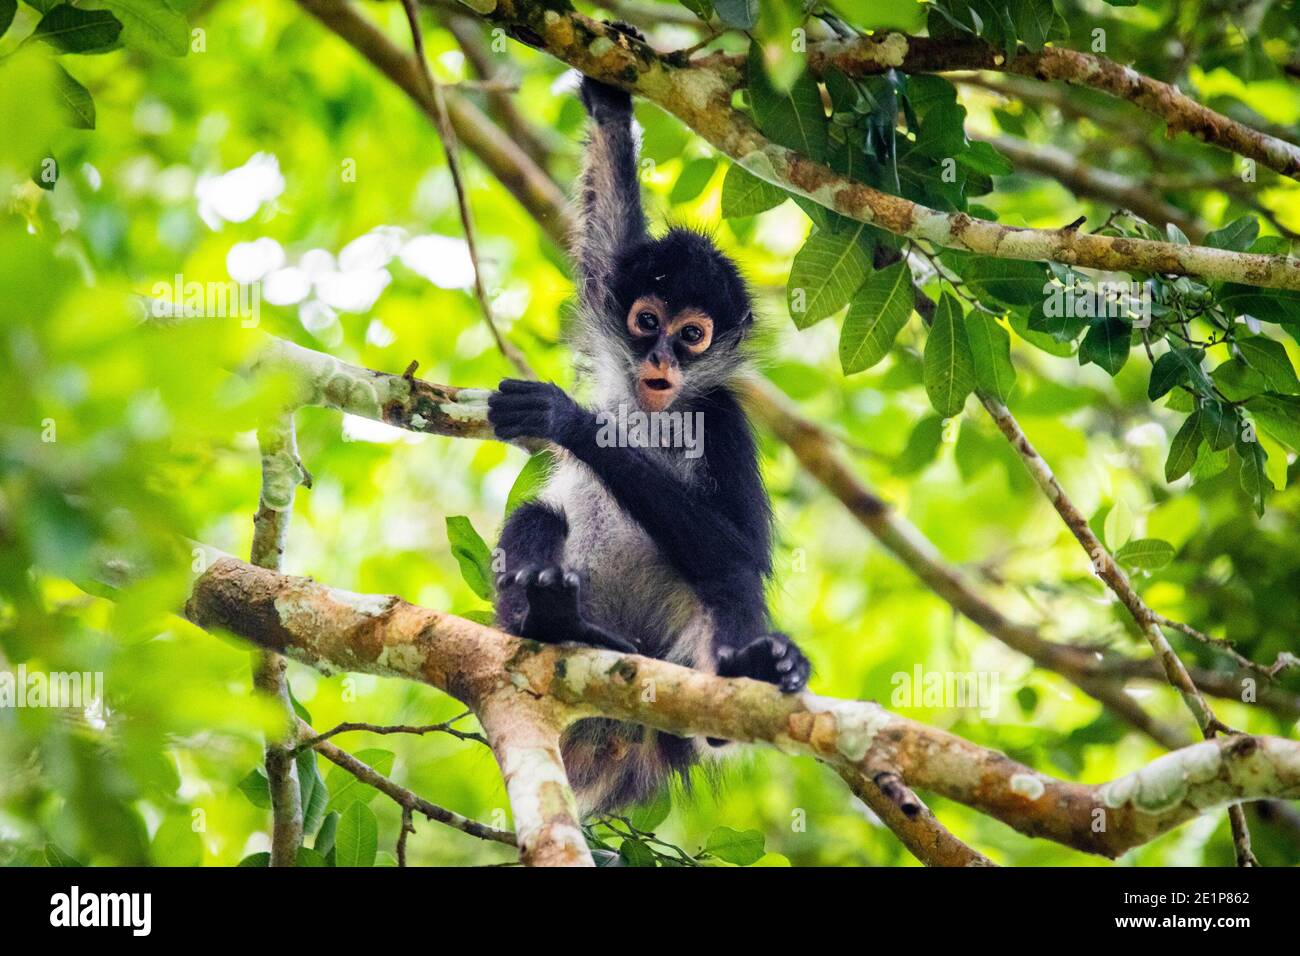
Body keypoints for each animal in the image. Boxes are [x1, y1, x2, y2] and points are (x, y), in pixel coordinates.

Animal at [488, 22, 800, 816]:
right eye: (648, 321)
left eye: (692, 335)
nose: (660, 359)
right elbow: (610, 226)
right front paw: (609, 97)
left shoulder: (723, 418)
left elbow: (743, 551)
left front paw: (566, 421)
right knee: (539, 516)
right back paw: (554, 621)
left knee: (727, 580)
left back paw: (755, 676)